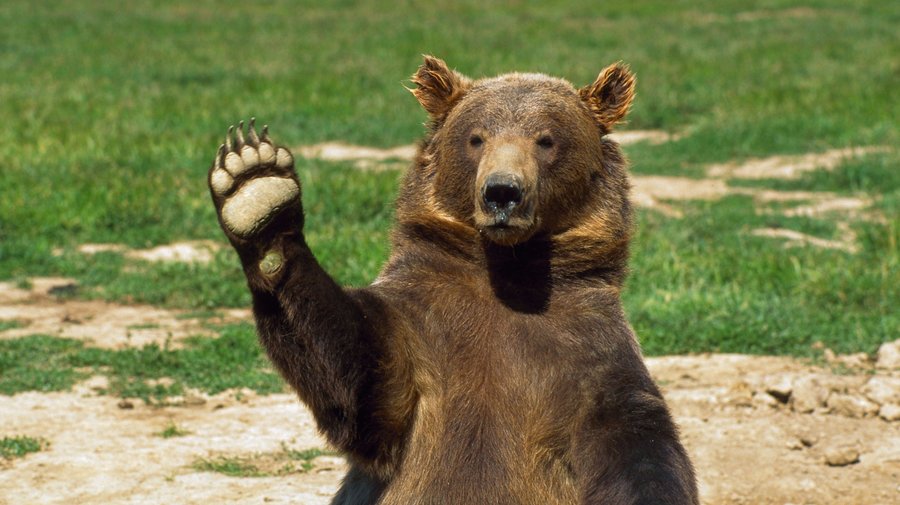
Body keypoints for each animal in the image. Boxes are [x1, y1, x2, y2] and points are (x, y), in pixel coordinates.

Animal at [207, 55, 698, 505]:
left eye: (546, 139)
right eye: (476, 137)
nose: (502, 192)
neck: (508, 272)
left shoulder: (586, 348)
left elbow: (636, 440)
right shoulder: (423, 326)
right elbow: (358, 378)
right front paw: (257, 189)